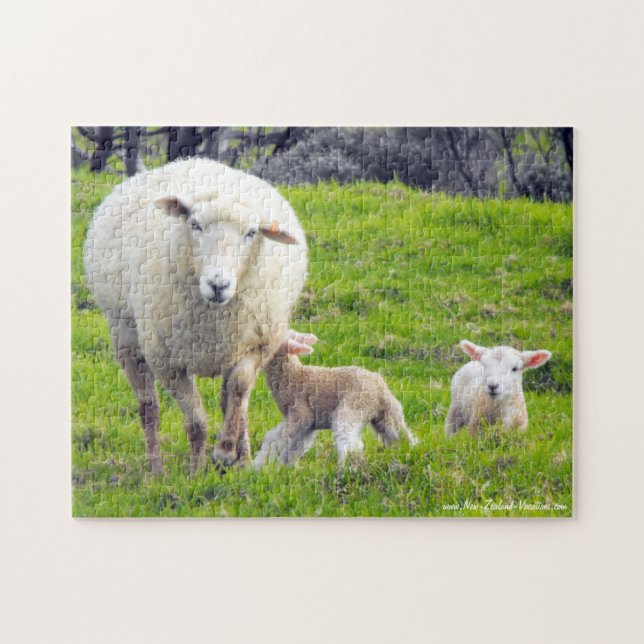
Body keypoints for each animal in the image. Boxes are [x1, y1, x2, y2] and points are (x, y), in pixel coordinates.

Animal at [84, 158, 308, 473]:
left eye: (251, 233)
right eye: (195, 225)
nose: (218, 284)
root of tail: (190, 161)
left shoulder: (257, 344)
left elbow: (238, 392)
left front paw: (227, 450)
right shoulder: (168, 363)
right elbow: (196, 422)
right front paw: (196, 471)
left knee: (235, 403)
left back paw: (243, 459)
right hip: (125, 337)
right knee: (148, 408)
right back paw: (156, 469)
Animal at [253, 331, 418, 468]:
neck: (292, 375)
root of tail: (380, 389)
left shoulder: (300, 412)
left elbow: (272, 438)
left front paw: (258, 466)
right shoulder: (308, 424)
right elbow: (294, 446)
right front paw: (284, 468)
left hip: (352, 407)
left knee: (350, 443)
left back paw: (344, 469)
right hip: (386, 415)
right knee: (400, 436)